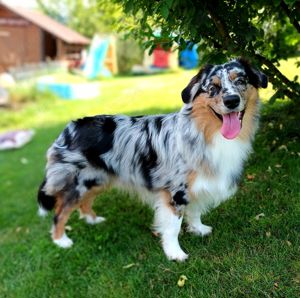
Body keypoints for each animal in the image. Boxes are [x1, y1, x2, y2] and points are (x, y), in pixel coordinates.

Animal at [37, 58, 268, 260]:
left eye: (241, 80)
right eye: (213, 87)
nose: (232, 101)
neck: (204, 132)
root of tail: (67, 129)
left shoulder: (197, 186)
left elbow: (195, 211)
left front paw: (198, 229)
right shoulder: (175, 192)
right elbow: (173, 227)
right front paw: (175, 254)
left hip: (97, 179)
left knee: (84, 203)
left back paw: (92, 220)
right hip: (77, 183)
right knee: (60, 212)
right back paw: (61, 240)